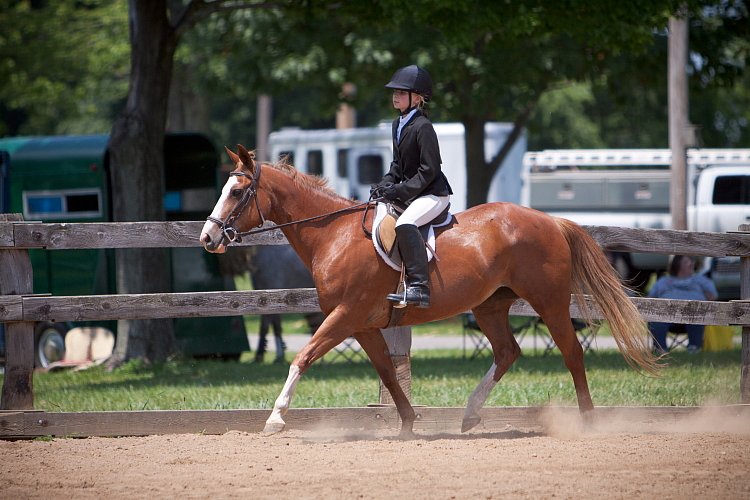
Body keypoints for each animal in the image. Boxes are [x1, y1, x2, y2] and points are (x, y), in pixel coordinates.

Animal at [200, 146, 656, 438]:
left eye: (236, 192)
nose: (208, 238)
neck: (333, 234)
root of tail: (550, 220)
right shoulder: (362, 324)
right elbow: (387, 371)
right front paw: (407, 422)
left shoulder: (344, 315)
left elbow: (303, 356)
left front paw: (276, 418)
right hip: (490, 306)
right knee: (508, 351)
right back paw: (470, 415)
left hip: (549, 301)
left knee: (571, 352)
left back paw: (588, 420)